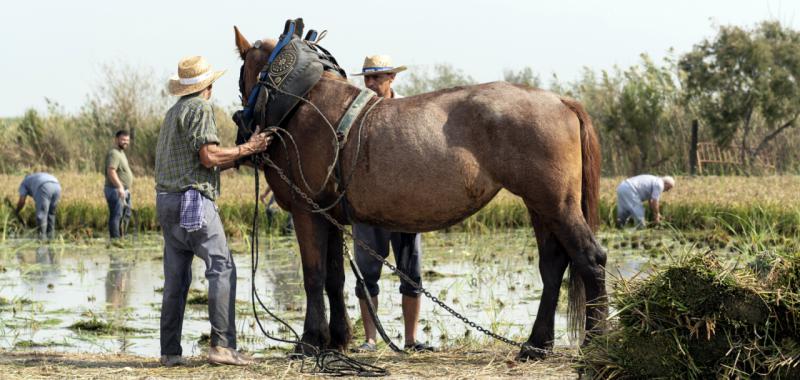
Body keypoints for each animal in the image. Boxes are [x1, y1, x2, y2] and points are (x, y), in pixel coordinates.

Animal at [231, 26, 608, 360]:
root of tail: (561, 100)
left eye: (241, 74)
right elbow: (334, 278)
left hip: (556, 204)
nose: (241, 125)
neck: (302, 104)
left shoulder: (306, 212)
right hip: (540, 206)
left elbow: (313, 276)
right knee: (553, 265)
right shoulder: (328, 214)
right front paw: (337, 339)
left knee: (590, 258)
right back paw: (536, 345)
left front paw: (309, 341)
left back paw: (595, 341)